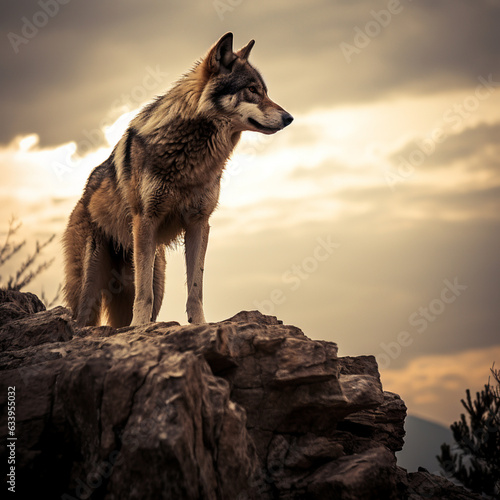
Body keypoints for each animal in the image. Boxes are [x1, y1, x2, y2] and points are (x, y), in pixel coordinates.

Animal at [64, 32, 294, 328]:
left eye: (265, 91)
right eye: (253, 90)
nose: (289, 118)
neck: (192, 158)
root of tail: (84, 195)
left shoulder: (199, 223)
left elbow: (195, 288)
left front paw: (199, 324)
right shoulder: (146, 220)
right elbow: (144, 294)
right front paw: (141, 327)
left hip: (156, 272)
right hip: (92, 278)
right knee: (83, 317)